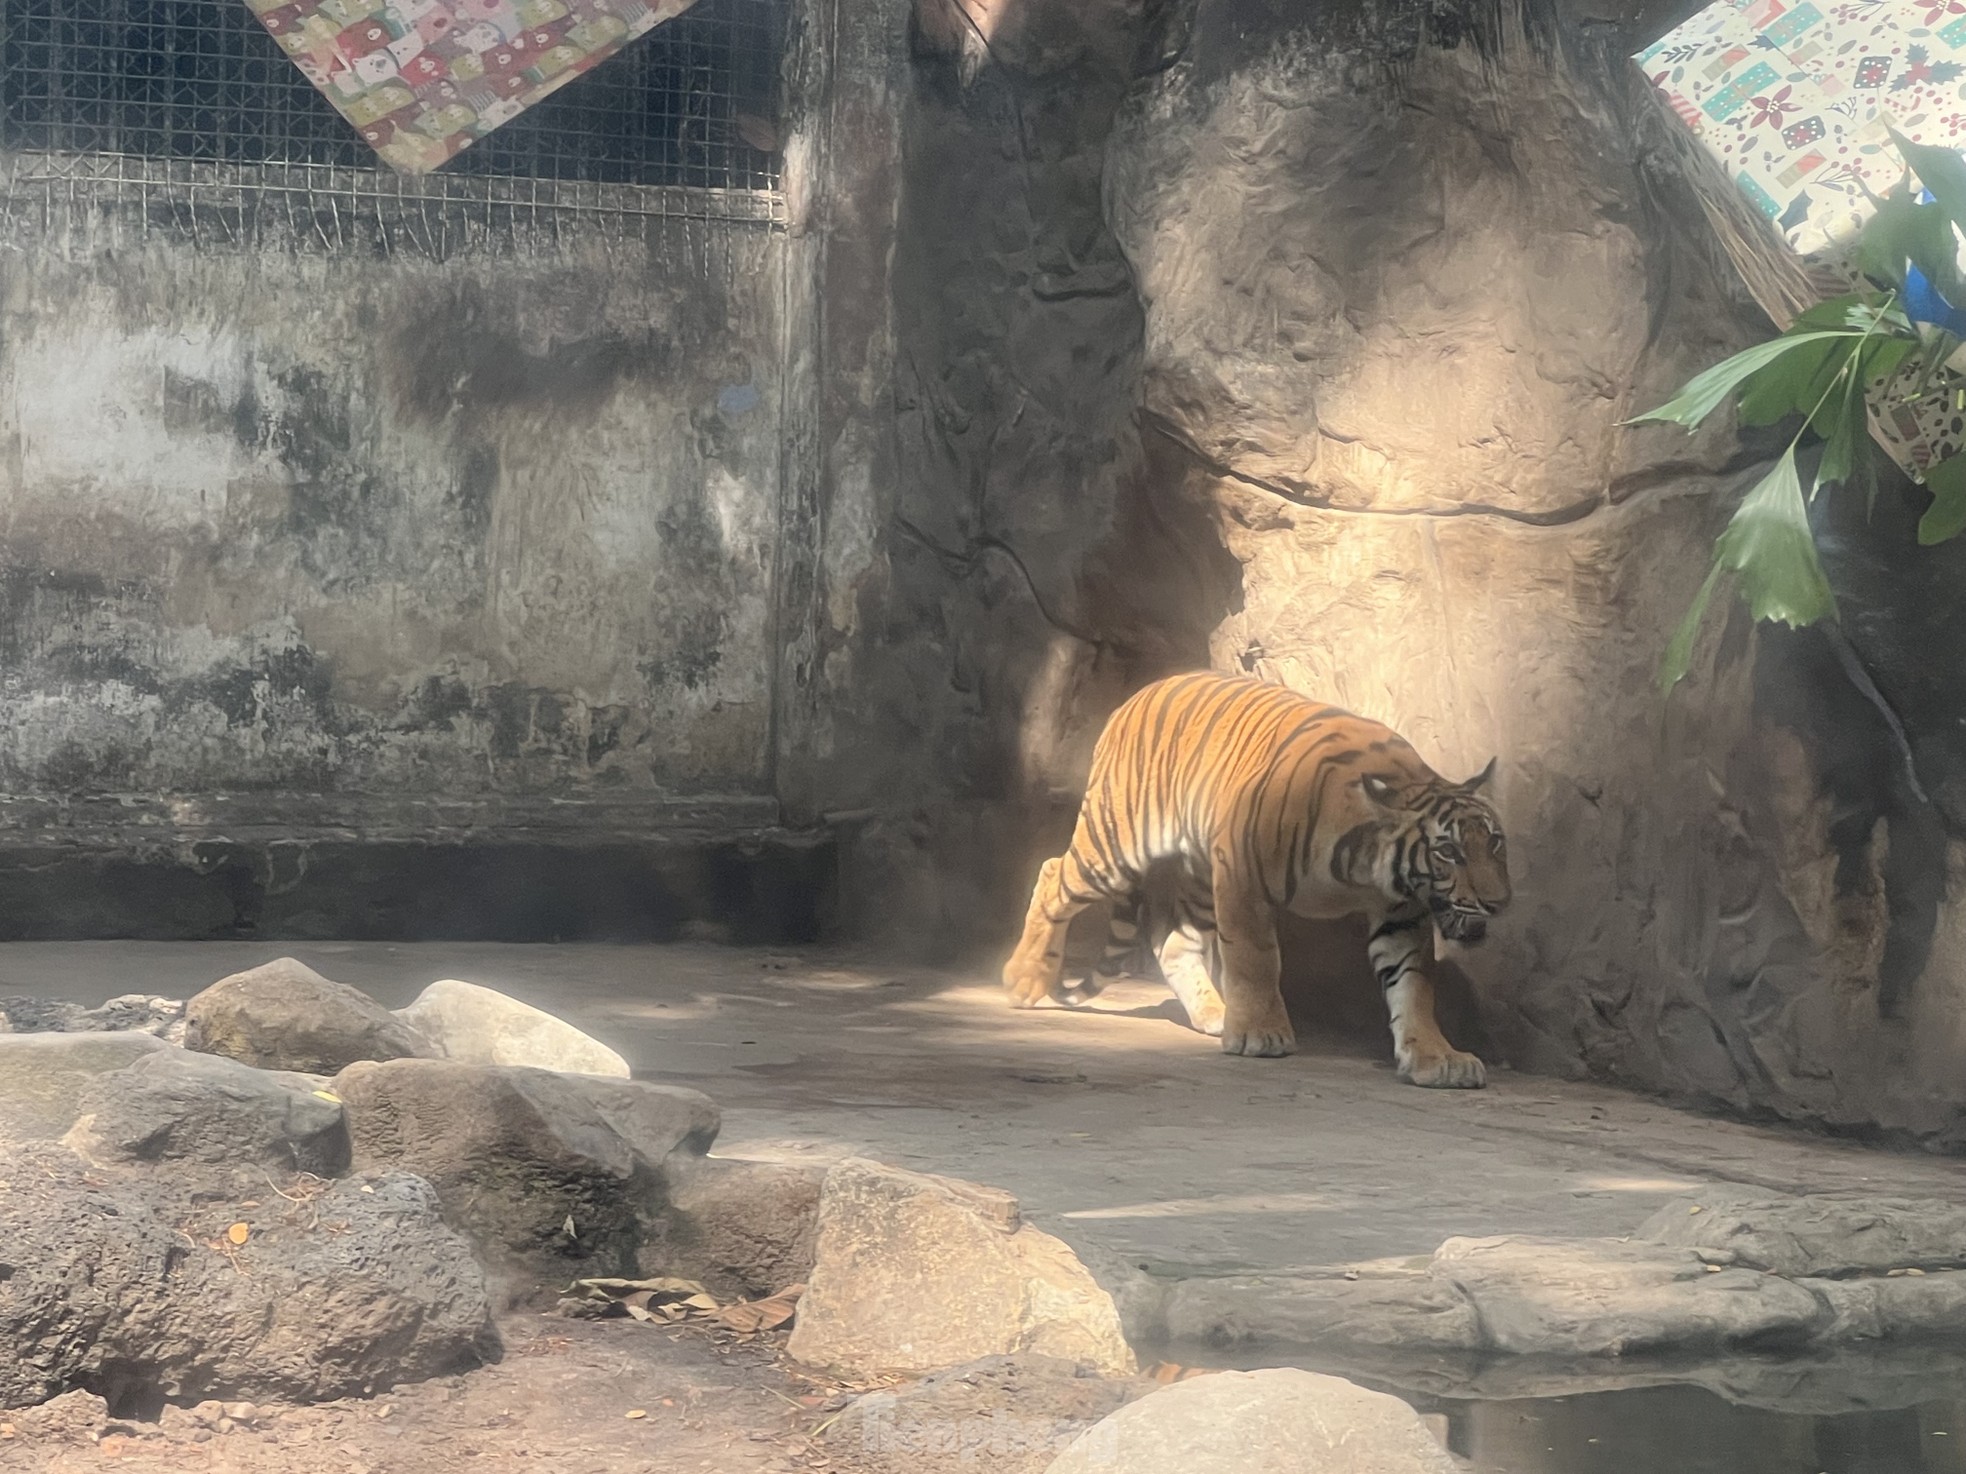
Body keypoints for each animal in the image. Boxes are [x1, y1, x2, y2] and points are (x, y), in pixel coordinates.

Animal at [1006, 676, 1509, 1092]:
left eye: (1495, 843)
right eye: (1449, 852)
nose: (1498, 903)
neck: (1366, 868)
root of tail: (1137, 696)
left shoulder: (1400, 913)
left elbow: (1413, 985)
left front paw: (1437, 1058)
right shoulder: (1241, 871)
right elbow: (1254, 957)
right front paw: (1260, 1033)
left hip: (1196, 873)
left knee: (1174, 943)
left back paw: (1215, 1013)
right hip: (1116, 844)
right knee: (1053, 875)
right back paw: (1025, 979)